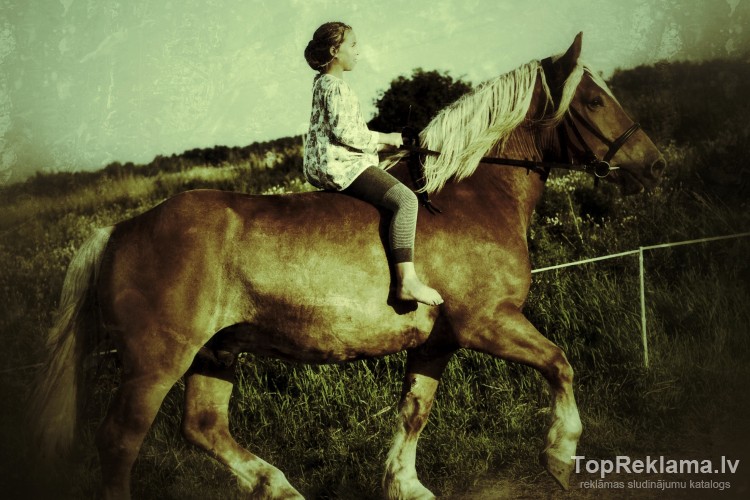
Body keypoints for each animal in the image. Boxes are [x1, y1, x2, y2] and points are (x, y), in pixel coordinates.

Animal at [31, 33, 665, 499]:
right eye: (593, 101)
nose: (654, 165)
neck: (471, 194)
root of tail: (118, 230)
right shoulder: (489, 323)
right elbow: (560, 364)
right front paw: (561, 455)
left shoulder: (438, 341)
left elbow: (414, 409)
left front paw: (405, 485)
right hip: (156, 361)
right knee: (120, 442)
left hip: (215, 353)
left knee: (203, 427)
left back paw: (280, 488)